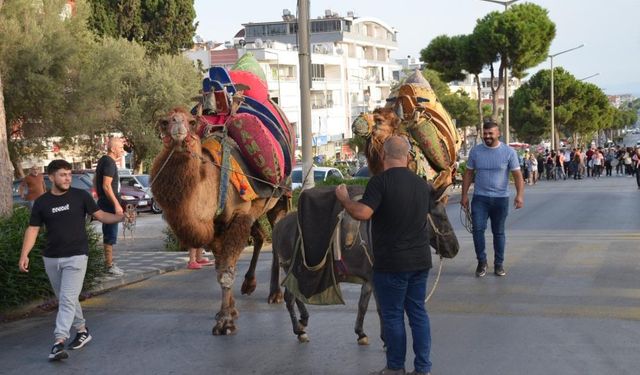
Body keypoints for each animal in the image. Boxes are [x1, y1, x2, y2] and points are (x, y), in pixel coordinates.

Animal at [151, 108, 286, 334]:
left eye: (192, 121)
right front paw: (230, 310)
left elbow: (226, 270)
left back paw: (275, 294)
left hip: (279, 200)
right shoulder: (216, 227)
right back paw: (249, 283)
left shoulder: (239, 214)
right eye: (164, 122)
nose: (177, 125)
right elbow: (220, 267)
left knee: (276, 236)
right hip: (254, 211)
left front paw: (225, 322)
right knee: (260, 235)